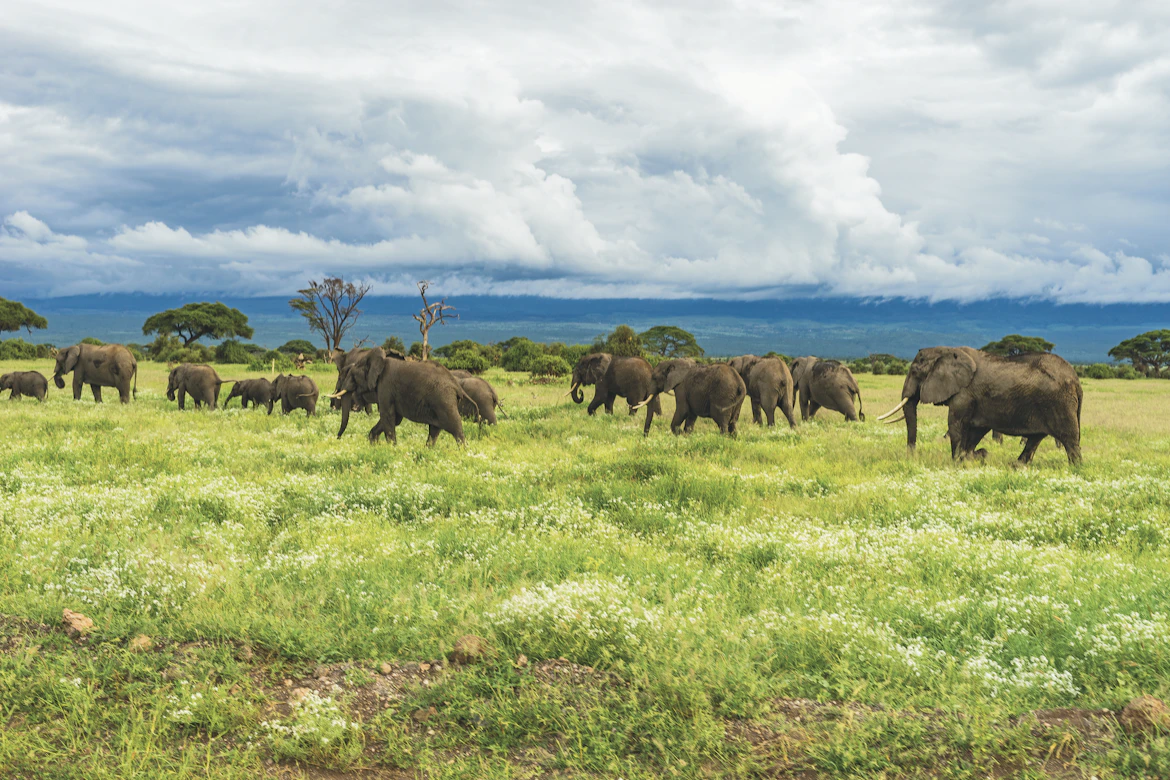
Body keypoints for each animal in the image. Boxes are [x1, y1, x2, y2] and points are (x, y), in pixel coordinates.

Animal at [331, 347, 475, 446]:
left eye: (353, 376)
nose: (338, 438)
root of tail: (457, 386)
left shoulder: (385, 386)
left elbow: (388, 416)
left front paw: (391, 449)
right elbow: (395, 419)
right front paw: (374, 444)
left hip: (445, 401)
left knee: (456, 429)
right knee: (434, 431)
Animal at [876, 347, 1083, 465]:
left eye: (915, 371)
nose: (911, 457)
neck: (946, 351)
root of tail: (1076, 380)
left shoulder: (965, 394)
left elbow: (956, 425)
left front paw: (958, 463)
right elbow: (976, 429)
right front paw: (976, 456)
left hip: (1059, 402)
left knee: (1070, 439)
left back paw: (1076, 469)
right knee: (1036, 438)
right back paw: (1016, 466)